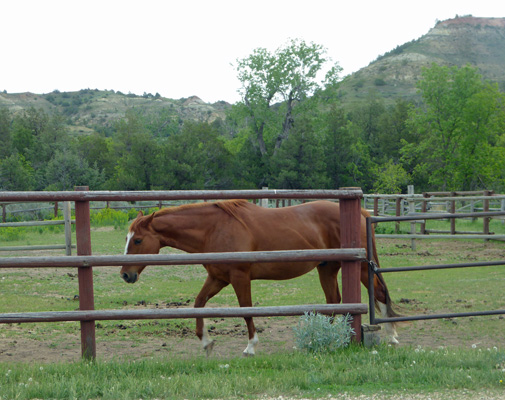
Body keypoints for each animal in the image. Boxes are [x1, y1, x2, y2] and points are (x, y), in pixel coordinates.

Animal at [119, 200, 398, 356]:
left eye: (138, 240)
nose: (125, 274)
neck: (214, 229)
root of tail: (361, 212)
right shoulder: (217, 278)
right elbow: (198, 304)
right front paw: (206, 343)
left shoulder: (239, 277)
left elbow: (247, 310)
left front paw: (251, 346)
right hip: (327, 268)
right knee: (333, 301)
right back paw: (323, 339)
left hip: (358, 268)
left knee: (379, 294)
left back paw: (392, 336)